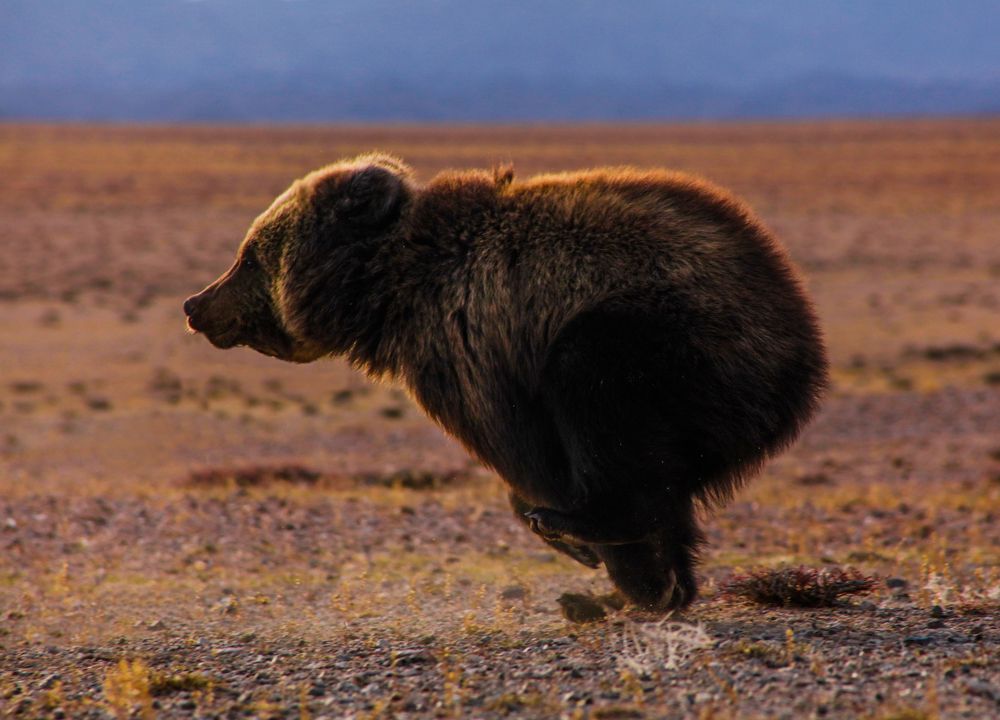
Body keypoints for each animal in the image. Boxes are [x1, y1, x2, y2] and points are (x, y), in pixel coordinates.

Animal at [183, 152, 828, 611]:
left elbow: (524, 451)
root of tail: (804, 357)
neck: (388, 288)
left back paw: (583, 524)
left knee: (597, 394)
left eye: (249, 254)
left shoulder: (469, 345)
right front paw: (648, 583)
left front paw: (602, 557)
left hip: (669, 342)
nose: (195, 304)